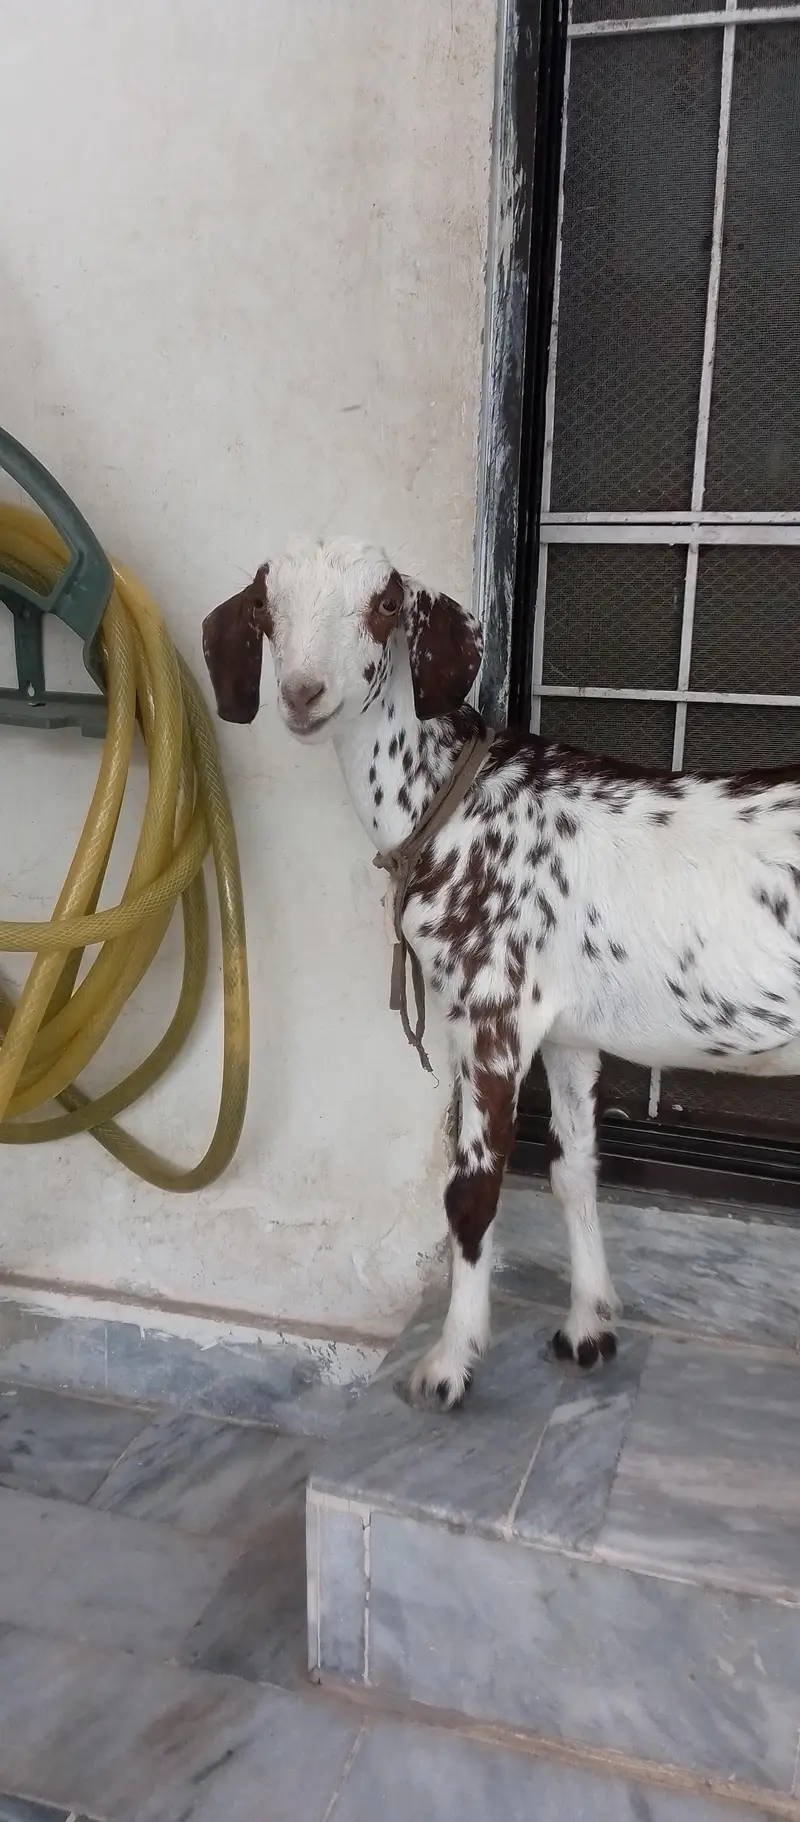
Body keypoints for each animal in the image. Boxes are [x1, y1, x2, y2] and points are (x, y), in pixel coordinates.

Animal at [203, 538, 800, 1409]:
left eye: (386, 605)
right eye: (264, 606)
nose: (303, 692)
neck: (455, 804)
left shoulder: (492, 1015)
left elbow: (472, 1194)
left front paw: (450, 1365)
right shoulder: (572, 1034)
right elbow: (573, 1171)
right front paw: (588, 1326)